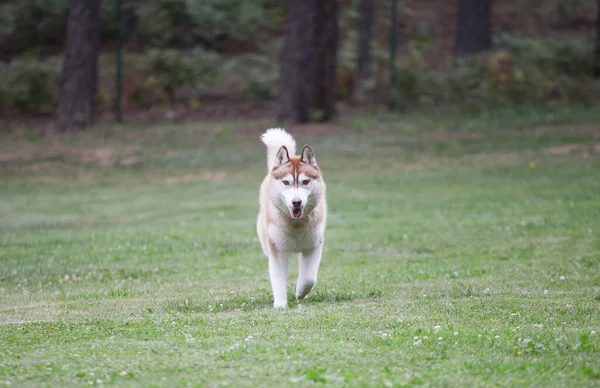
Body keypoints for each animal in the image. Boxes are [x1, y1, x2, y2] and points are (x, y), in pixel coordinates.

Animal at [254, 129, 326, 308]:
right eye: (286, 182)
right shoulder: (277, 251)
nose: (296, 202)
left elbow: (309, 278)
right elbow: (278, 280)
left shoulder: (313, 246)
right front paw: (280, 305)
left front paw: (300, 292)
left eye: (305, 181)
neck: (296, 224)